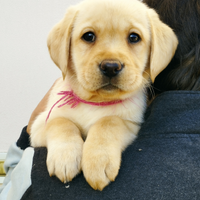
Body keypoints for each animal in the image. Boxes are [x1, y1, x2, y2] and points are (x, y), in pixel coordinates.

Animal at [30, 0, 178, 191]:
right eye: (88, 36)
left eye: (134, 37)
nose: (111, 67)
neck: (94, 102)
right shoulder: (38, 126)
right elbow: (61, 122)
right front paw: (65, 156)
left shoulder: (132, 124)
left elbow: (109, 122)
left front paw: (98, 160)